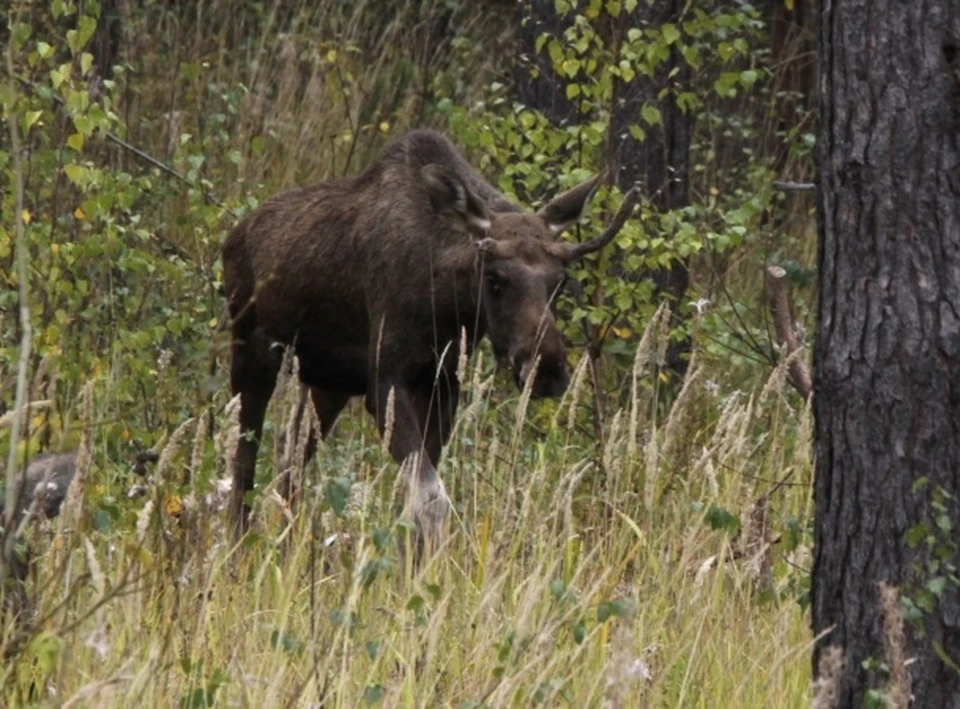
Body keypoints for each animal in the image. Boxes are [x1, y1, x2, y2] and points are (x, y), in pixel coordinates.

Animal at [220, 130, 632, 544]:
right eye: (494, 278)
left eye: (559, 281)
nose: (545, 368)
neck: (446, 302)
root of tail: (232, 238)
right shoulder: (385, 383)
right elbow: (431, 499)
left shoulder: (442, 384)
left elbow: (417, 503)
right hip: (251, 354)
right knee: (244, 461)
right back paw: (237, 545)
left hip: (327, 382)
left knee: (289, 459)